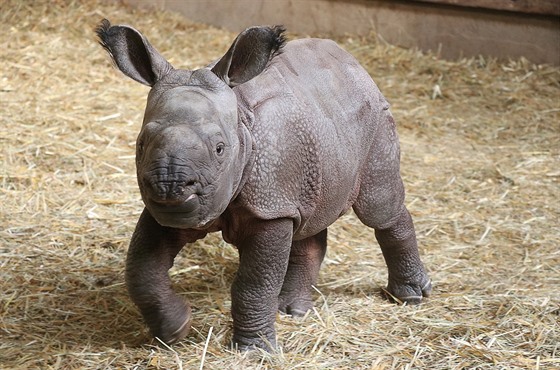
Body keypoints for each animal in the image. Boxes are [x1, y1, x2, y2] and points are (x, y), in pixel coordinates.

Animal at [96, 18, 428, 352]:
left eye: (220, 148)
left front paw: (254, 351)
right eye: (140, 144)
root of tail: (356, 66)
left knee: (379, 207)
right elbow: (142, 271)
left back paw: (410, 296)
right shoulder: (168, 212)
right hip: (320, 139)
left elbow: (254, 283)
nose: (169, 186)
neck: (240, 122)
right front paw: (175, 330)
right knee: (310, 219)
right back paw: (292, 311)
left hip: (374, 119)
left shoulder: (271, 207)